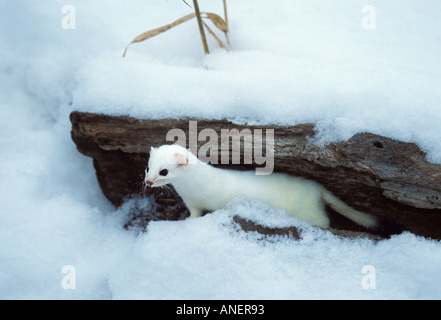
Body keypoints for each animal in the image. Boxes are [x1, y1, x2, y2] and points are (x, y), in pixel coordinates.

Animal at [145, 144, 378, 230]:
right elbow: (194, 213)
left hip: (307, 209)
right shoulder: (192, 201)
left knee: (323, 220)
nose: (148, 182)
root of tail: (316, 187)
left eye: (164, 171)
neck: (192, 189)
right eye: (148, 167)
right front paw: (188, 220)